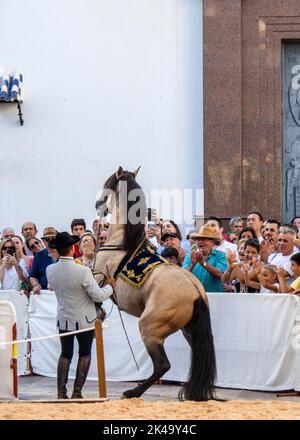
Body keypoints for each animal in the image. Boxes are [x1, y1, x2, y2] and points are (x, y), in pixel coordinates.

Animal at [93, 167, 216, 400]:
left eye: (107, 184)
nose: (97, 205)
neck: (121, 242)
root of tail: (196, 291)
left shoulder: (97, 276)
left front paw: (98, 314)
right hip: (189, 331)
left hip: (150, 329)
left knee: (162, 365)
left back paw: (133, 391)